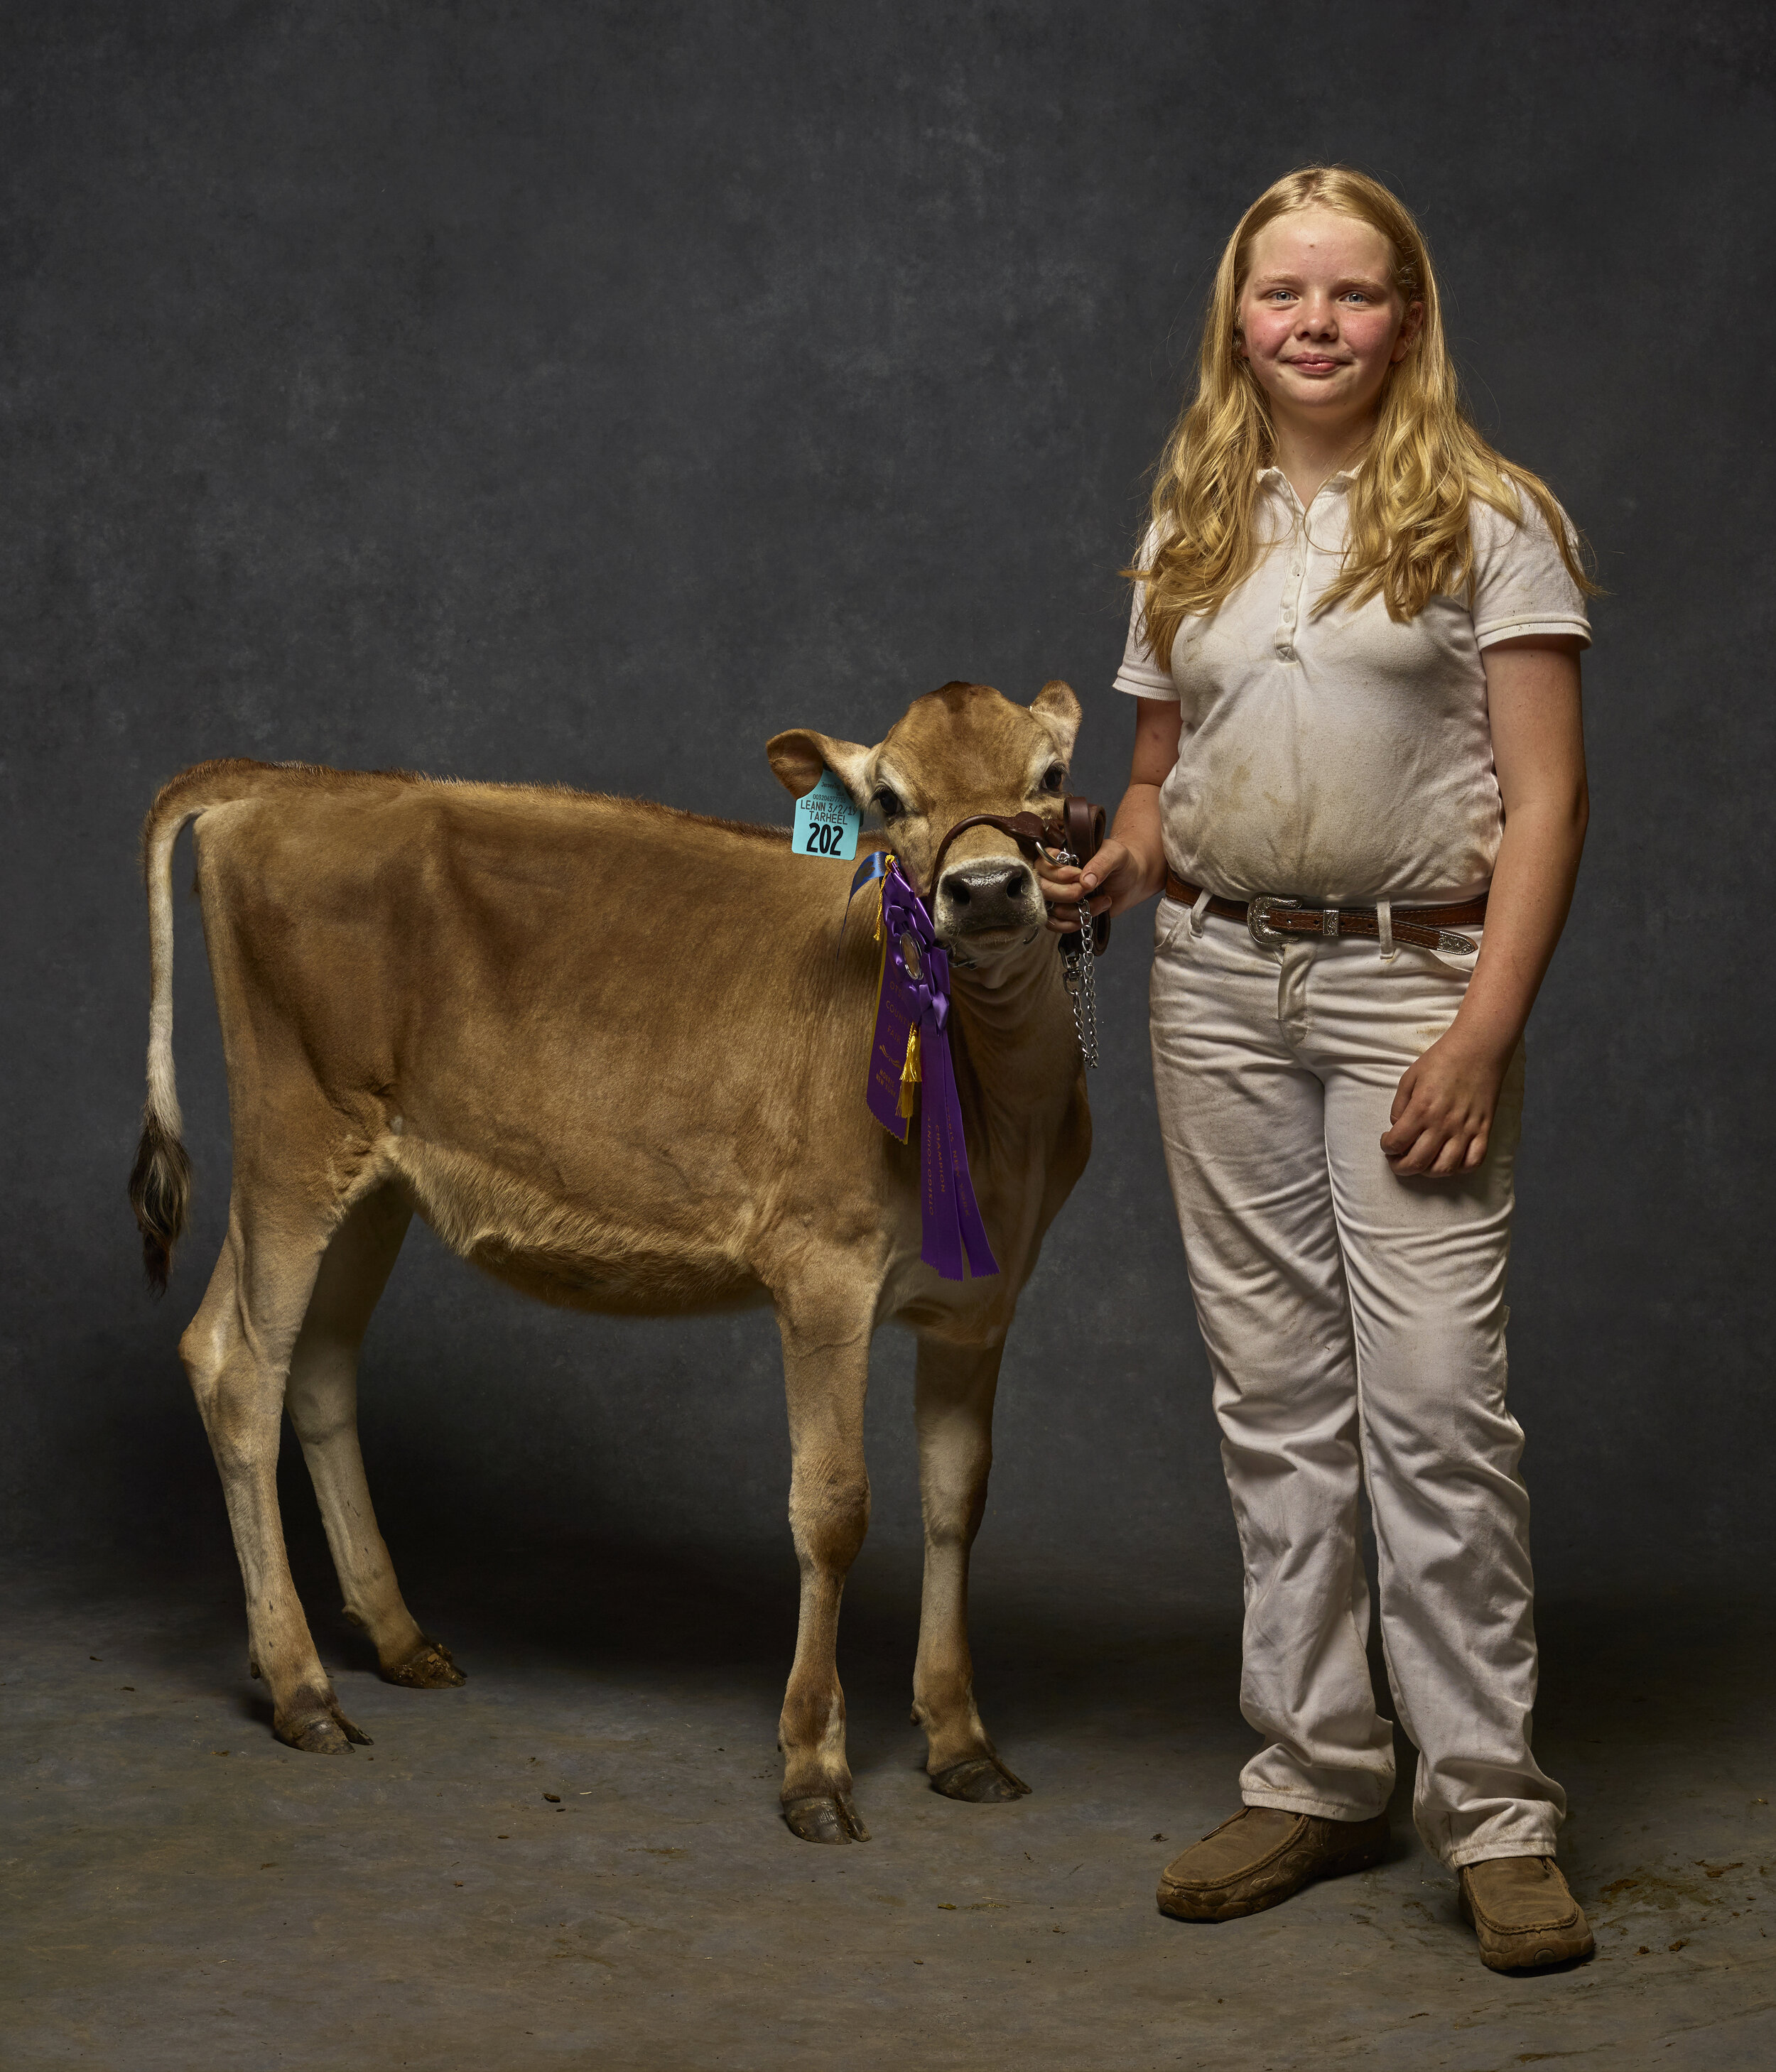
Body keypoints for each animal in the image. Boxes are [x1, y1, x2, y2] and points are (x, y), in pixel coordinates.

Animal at [131, 679, 1085, 1848]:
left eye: (1050, 776)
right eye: (891, 799)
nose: (985, 886)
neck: (994, 1102)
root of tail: (292, 783)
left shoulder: (981, 1304)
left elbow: (956, 1503)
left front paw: (959, 1741)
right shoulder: (822, 1269)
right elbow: (832, 1510)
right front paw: (815, 1766)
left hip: (377, 1181)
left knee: (309, 1366)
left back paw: (398, 1637)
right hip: (294, 1135)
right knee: (239, 1369)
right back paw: (301, 1686)